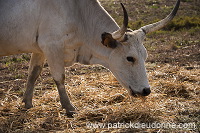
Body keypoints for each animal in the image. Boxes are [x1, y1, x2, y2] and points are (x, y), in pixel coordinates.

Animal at [0, 0, 180, 116]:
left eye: (145, 55)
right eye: (130, 58)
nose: (146, 90)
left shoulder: (40, 49)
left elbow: (33, 74)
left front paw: (27, 103)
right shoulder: (52, 46)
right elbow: (59, 77)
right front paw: (69, 108)